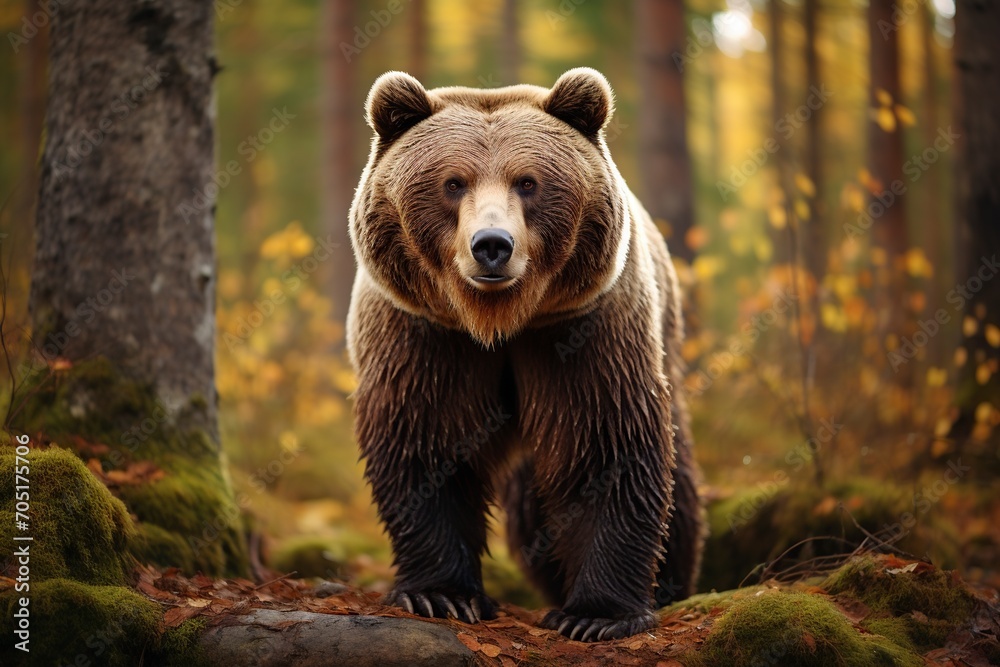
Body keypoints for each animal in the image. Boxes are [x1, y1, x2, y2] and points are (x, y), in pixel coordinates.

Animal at [347, 67, 704, 642]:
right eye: (454, 182)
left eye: (528, 182)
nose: (492, 244)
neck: (500, 323)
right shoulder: (425, 334)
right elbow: (425, 440)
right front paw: (442, 594)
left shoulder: (581, 329)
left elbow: (605, 446)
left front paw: (597, 614)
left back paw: (671, 581)